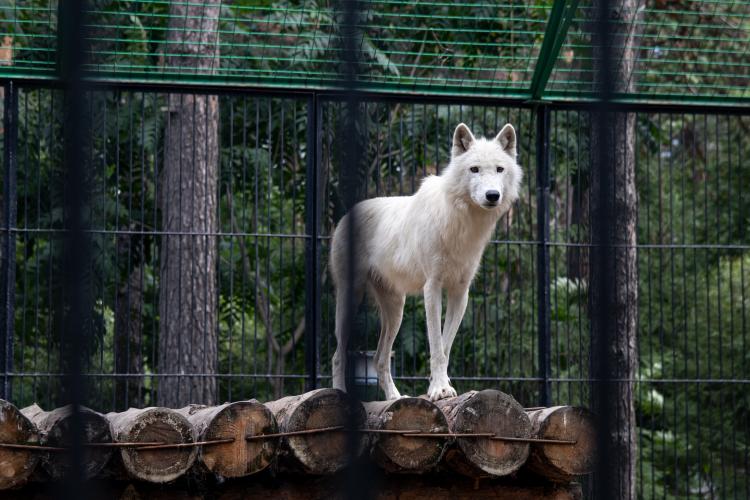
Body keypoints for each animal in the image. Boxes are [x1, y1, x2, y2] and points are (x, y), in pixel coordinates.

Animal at [330, 122, 523, 401]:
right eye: (474, 169)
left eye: (499, 169)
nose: (492, 195)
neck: (463, 224)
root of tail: (346, 216)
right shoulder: (432, 288)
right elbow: (436, 345)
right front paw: (439, 389)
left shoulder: (460, 292)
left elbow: (445, 346)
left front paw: (440, 386)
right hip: (351, 299)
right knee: (337, 355)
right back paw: (339, 395)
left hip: (396, 310)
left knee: (379, 359)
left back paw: (395, 398)